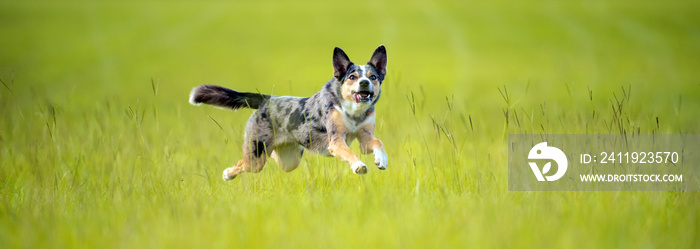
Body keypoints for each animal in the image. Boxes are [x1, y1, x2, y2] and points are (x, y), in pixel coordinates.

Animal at [189, 45, 392, 181]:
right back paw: (227, 174)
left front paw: (381, 160)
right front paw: (359, 166)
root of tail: (267, 99)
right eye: (352, 77)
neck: (353, 113)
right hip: (257, 157)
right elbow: (351, 154)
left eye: (373, 77)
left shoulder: (365, 137)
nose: (364, 83)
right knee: (243, 163)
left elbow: (378, 142)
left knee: (274, 158)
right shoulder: (336, 141)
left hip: (289, 161)